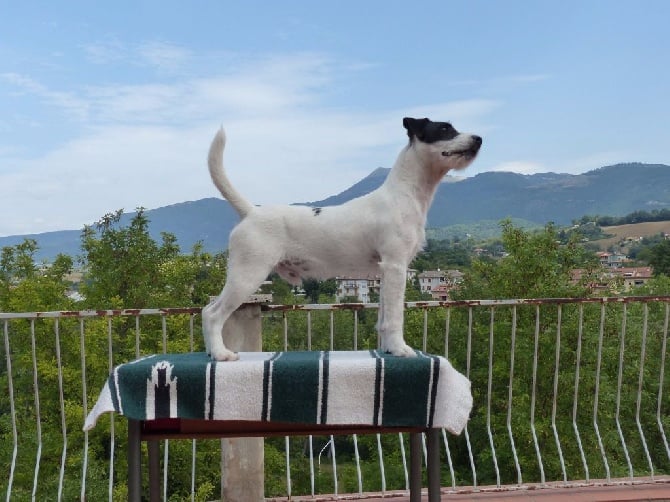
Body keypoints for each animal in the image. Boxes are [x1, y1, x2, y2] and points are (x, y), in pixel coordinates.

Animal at [205, 117, 484, 360]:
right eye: (445, 129)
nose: (479, 138)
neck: (404, 193)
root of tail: (251, 211)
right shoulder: (396, 265)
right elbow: (395, 316)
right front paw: (400, 349)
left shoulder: (386, 272)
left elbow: (384, 317)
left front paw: (388, 348)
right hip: (248, 273)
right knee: (213, 314)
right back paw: (220, 354)